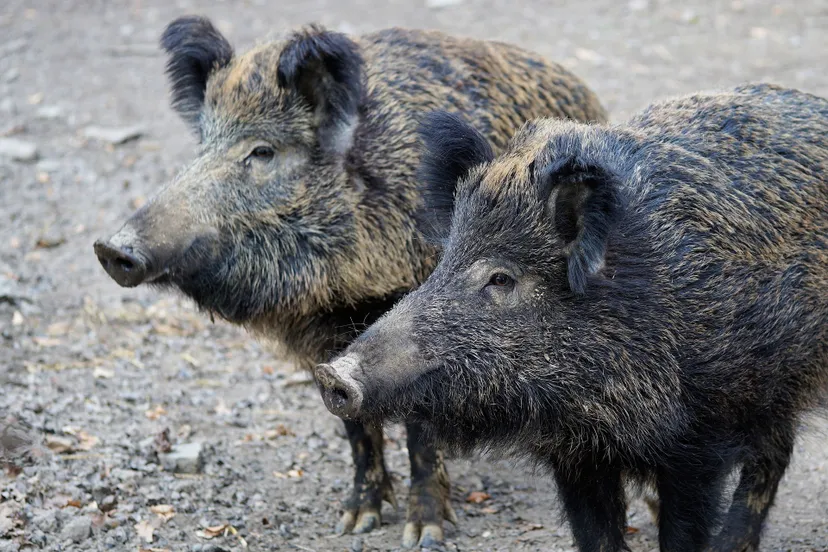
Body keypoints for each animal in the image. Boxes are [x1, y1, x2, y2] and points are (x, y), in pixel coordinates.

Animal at [92, 15, 608, 547]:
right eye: (203, 145)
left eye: (263, 151)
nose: (111, 248)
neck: (347, 289)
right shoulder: (325, 341)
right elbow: (355, 427)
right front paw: (355, 521)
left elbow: (419, 432)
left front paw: (423, 534)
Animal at [316, 83, 828, 552]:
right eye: (443, 261)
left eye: (501, 279)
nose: (330, 374)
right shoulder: (575, 453)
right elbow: (597, 536)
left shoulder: (699, 443)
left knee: (772, 457)